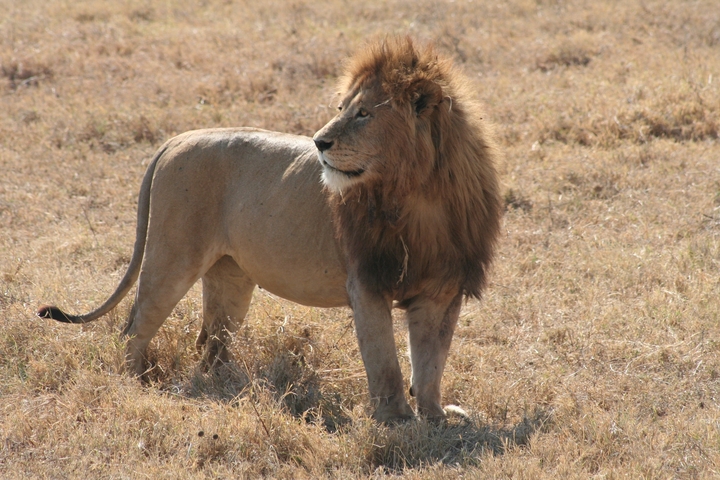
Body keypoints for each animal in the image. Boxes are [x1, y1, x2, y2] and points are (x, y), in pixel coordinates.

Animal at [38, 37, 502, 423]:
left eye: (364, 114)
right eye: (341, 110)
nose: (318, 142)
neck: (419, 195)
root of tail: (178, 137)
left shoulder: (443, 288)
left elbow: (431, 362)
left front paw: (436, 417)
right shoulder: (367, 282)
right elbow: (384, 359)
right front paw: (395, 420)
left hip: (230, 278)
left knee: (210, 343)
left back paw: (223, 390)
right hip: (171, 258)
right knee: (133, 328)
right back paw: (136, 387)